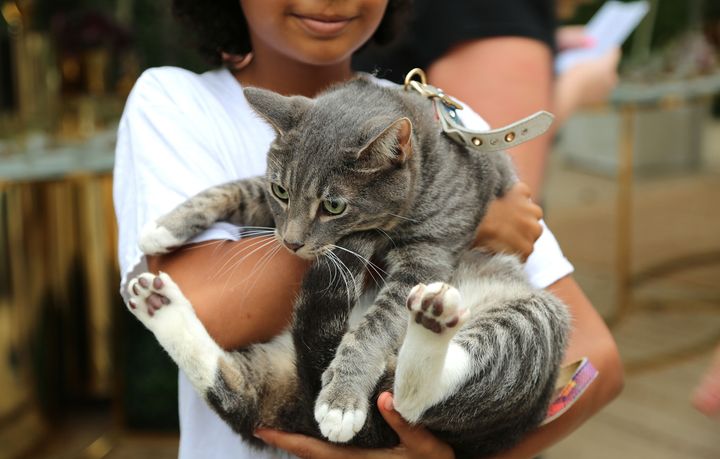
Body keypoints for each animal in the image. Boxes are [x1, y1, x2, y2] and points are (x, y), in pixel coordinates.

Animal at [126, 77, 572, 458]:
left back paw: (431, 320)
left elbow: (375, 326)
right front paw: (164, 226)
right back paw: (155, 302)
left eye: (334, 205)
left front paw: (341, 400)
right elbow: (239, 187)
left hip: (533, 325)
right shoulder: (271, 208)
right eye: (281, 191)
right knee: (236, 389)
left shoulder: (427, 255)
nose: (291, 244)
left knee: (414, 399)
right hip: (274, 373)